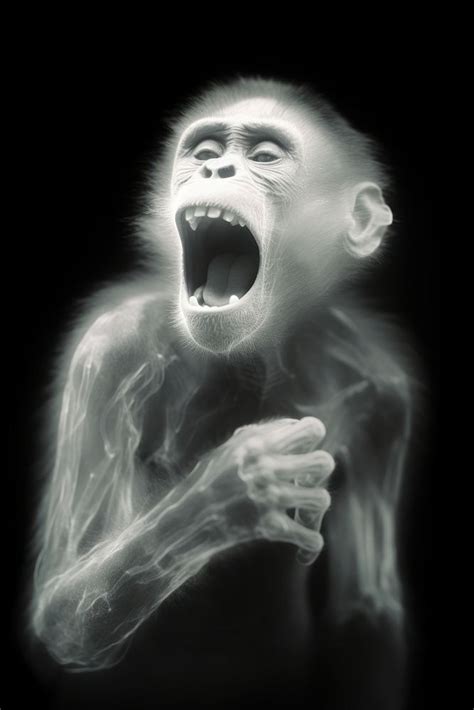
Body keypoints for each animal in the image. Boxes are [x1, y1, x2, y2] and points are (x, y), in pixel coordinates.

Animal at [29, 78, 415, 709]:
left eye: (264, 157)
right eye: (204, 153)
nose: (216, 169)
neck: (252, 360)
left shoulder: (387, 396)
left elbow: (369, 605)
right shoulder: (107, 355)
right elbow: (64, 604)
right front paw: (235, 487)